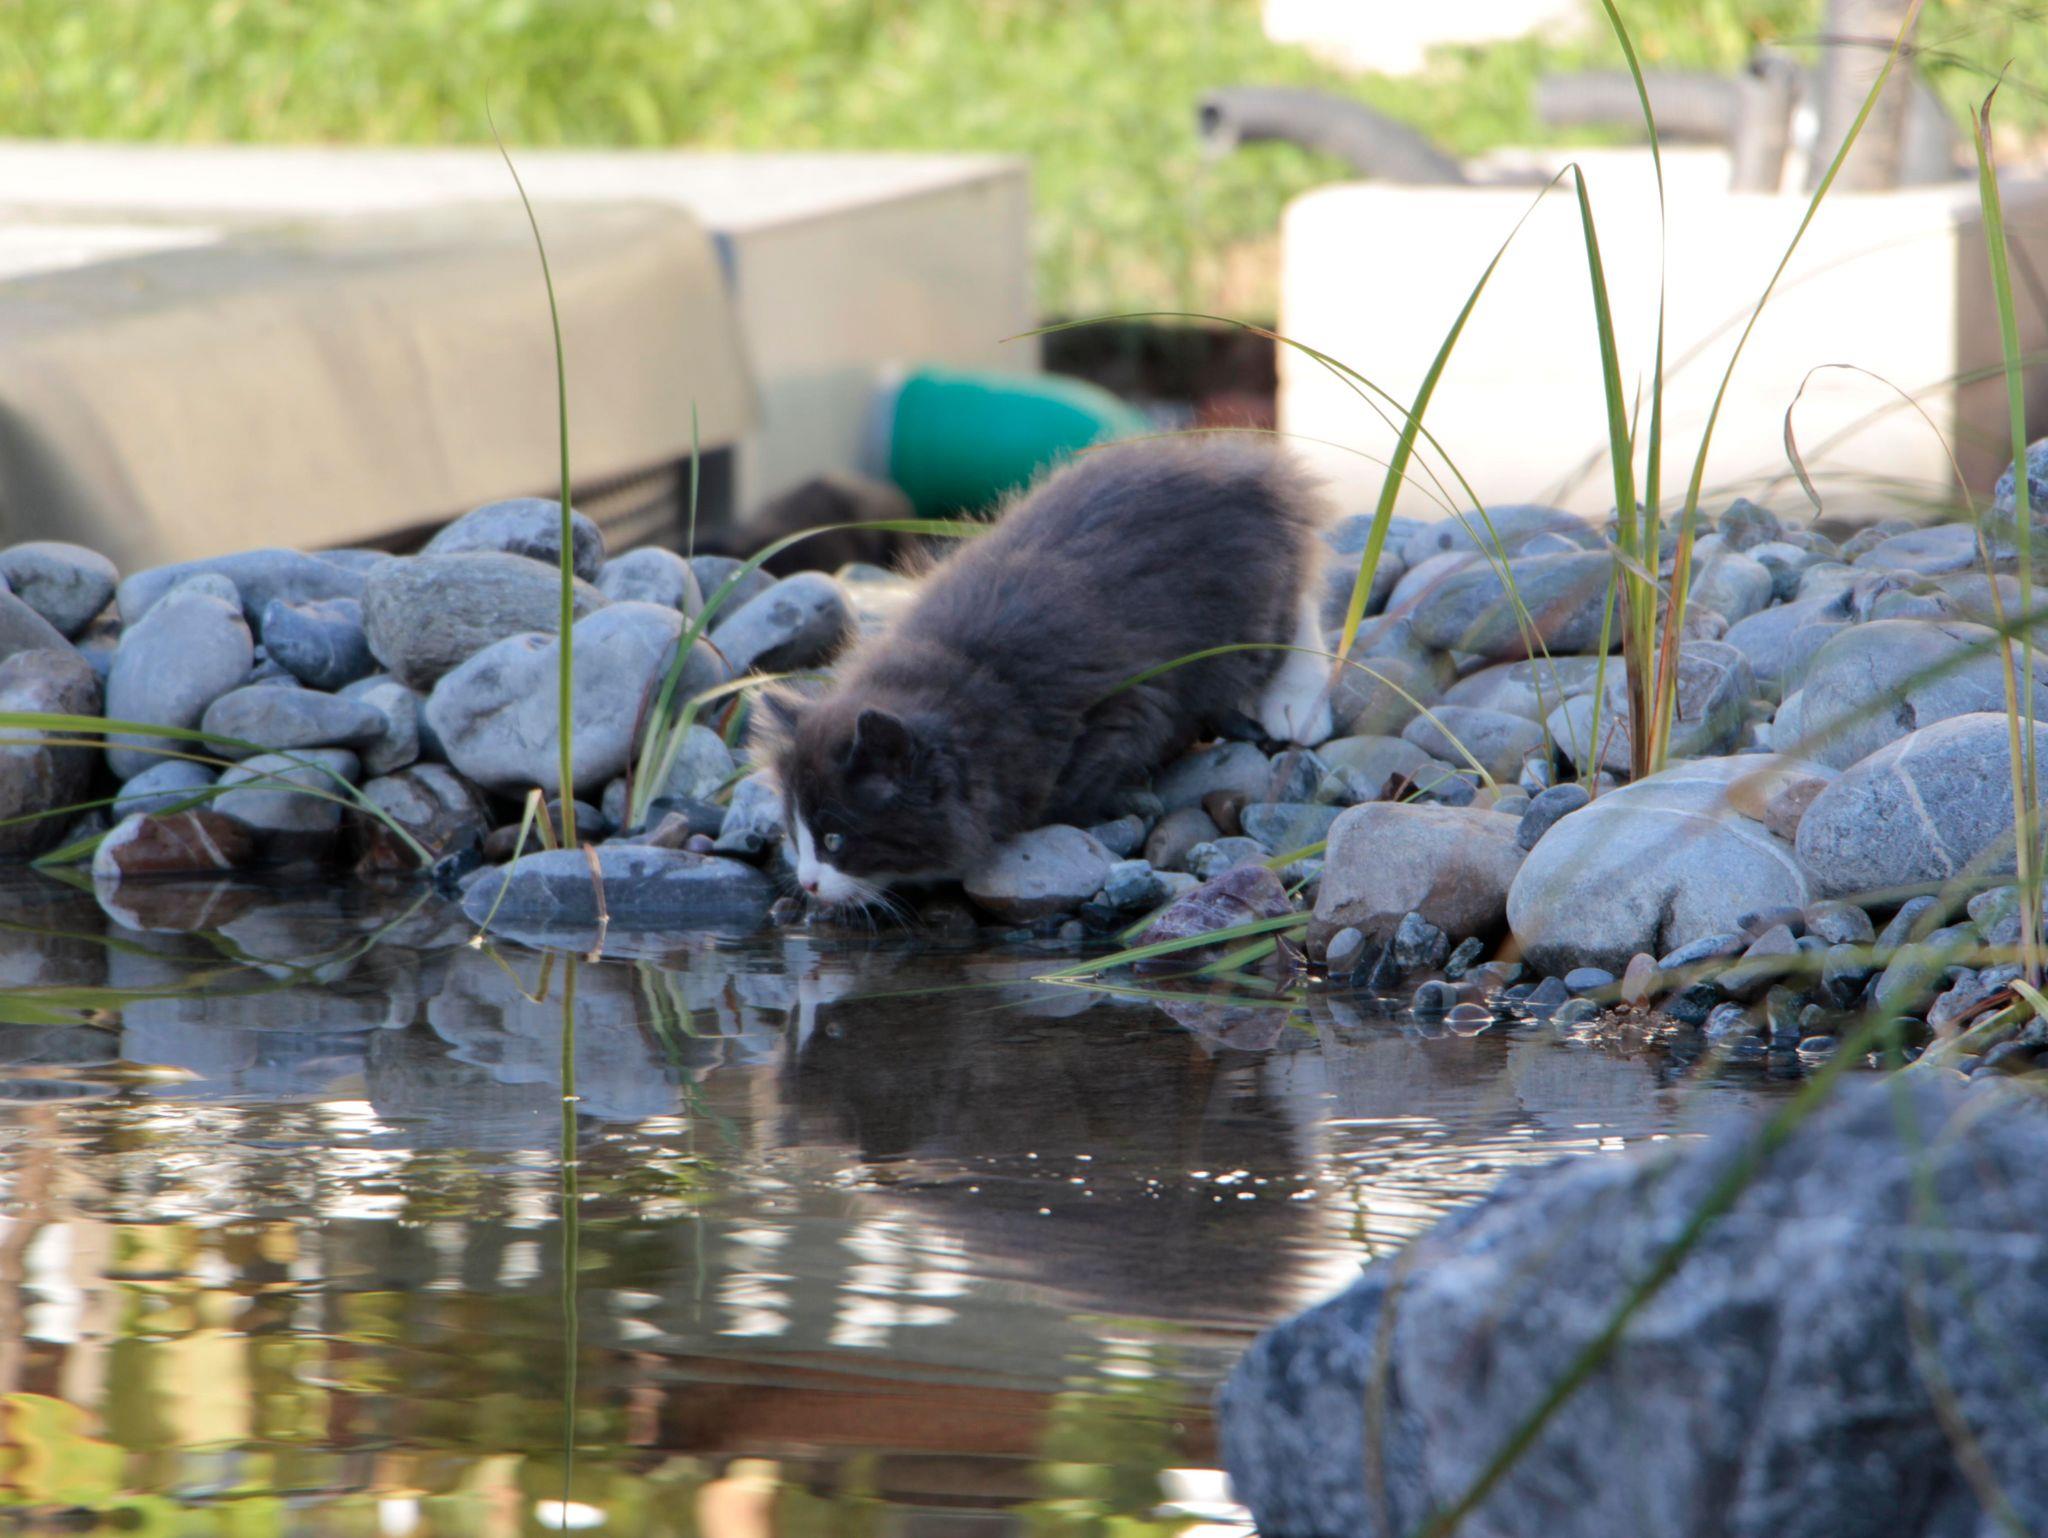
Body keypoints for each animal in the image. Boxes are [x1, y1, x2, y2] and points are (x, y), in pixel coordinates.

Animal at [759, 437, 1332, 909]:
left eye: (836, 840)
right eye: (793, 833)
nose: (808, 882)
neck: (961, 679)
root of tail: (1246, 466)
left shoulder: (1119, 709)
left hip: (1240, 615)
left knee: (1294, 609)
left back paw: (1297, 704)